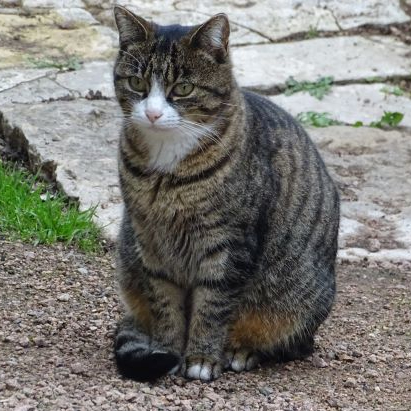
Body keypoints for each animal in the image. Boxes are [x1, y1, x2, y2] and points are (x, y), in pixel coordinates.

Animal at [112, 5, 340, 382]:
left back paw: (241, 351)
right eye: (137, 83)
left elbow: (212, 307)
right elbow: (165, 304)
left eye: (183, 88)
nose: (153, 113)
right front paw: (167, 350)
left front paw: (202, 358)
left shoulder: (228, 245)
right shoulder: (151, 242)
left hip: (295, 304)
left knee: (290, 343)